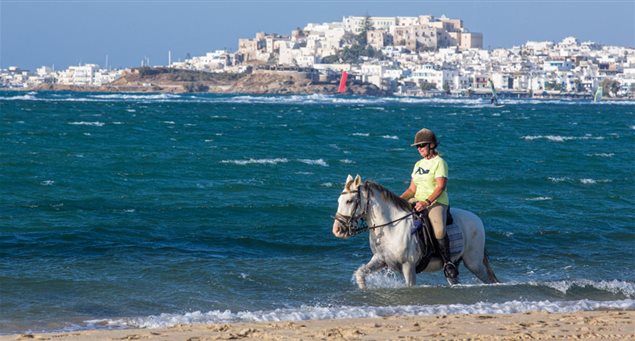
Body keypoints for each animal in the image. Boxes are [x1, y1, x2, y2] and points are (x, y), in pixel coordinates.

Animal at [330, 174, 500, 288]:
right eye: (339, 200)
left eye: (349, 201)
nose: (337, 230)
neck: (391, 227)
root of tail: (477, 219)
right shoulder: (380, 260)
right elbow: (361, 273)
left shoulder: (408, 266)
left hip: (473, 262)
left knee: (489, 279)